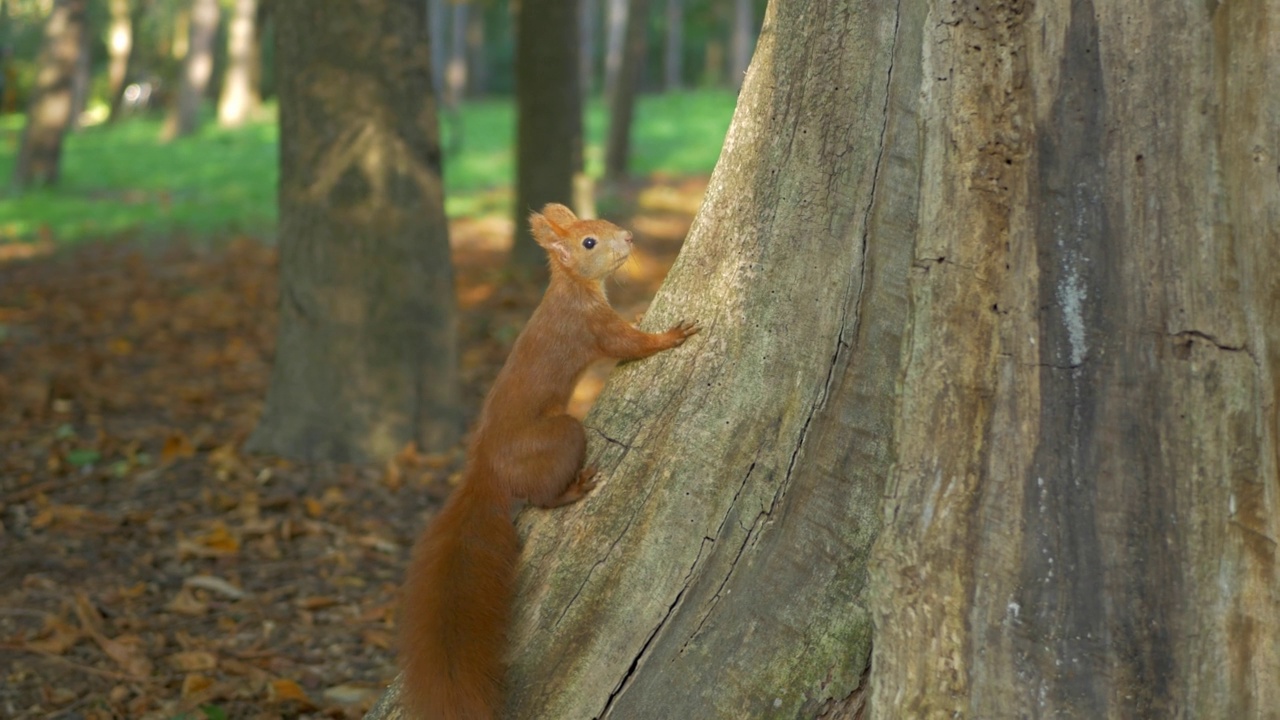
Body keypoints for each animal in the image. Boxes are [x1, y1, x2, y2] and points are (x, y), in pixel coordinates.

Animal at [399, 203, 701, 717]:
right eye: (588, 243)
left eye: (602, 225)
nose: (629, 236)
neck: (571, 287)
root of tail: (487, 469)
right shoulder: (592, 327)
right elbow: (629, 346)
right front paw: (671, 335)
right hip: (560, 437)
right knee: (542, 497)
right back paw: (575, 489)